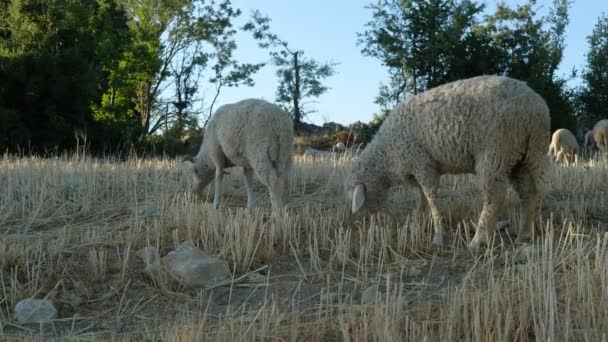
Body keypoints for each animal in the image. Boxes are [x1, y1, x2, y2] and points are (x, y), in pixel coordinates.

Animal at [346, 75, 552, 248]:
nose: (360, 222)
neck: (386, 155)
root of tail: (537, 109)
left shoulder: (422, 163)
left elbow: (431, 198)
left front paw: (438, 236)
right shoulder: (418, 170)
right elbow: (422, 198)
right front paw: (418, 221)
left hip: (496, 152)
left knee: (495, 198)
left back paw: (477, 240)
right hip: (522, 155)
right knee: (528, 192)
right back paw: (524, 235)